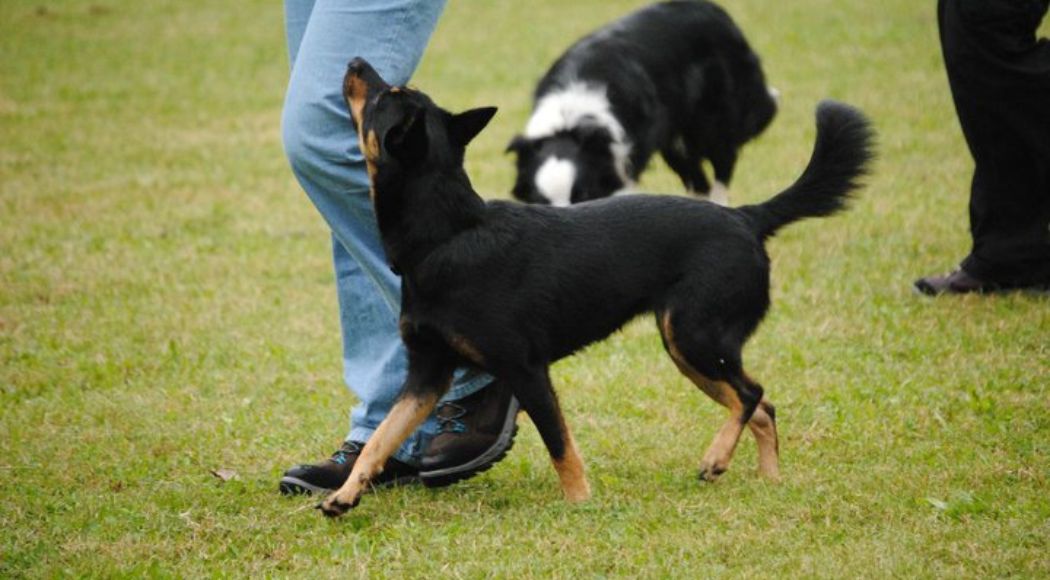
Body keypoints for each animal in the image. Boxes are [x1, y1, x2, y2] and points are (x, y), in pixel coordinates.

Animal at [315, 56, 873, 516]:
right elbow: (380, 439)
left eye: (384, 98)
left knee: (750, 394)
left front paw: (581, 504)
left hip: (693, 337)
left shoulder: (526, 370)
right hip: (694, 350)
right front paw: (345, 495)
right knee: (761, 405)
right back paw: (769, 481)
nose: (356, 61)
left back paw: (716, 457)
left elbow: (560, 445)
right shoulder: (426, 377)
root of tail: (746, 217)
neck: (448, 234)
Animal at [508, 0, 781, 205]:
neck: (571, 119)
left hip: (712, 123)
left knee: (724, 165)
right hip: (675, 143)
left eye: (583, 195)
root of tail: (718, 12)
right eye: (541, 201)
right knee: (698, 179)